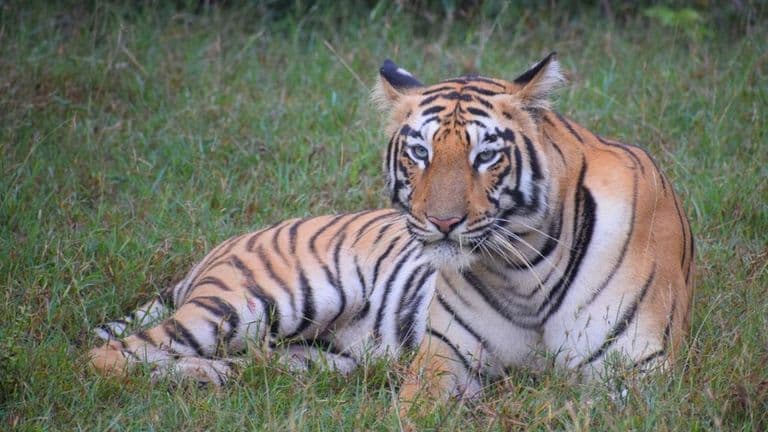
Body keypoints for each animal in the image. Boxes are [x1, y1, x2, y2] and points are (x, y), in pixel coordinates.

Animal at [371, 53, 694, 408]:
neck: (521, 269)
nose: (443, 222)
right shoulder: (444, 352)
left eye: (485, 156)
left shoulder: (638, 364)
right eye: (420, 153)